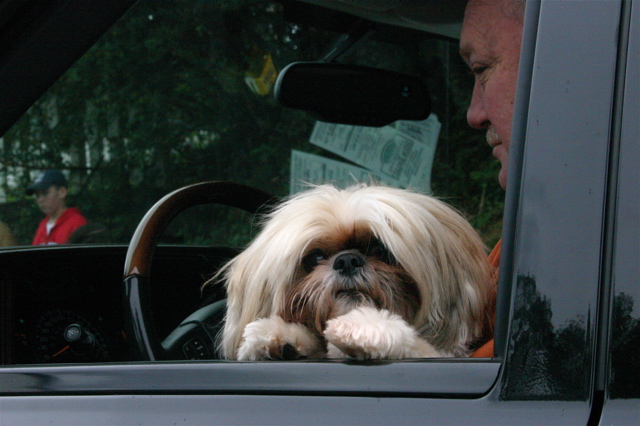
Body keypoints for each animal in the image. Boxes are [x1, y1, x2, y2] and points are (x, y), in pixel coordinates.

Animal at [212, 183, 492, 360]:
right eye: (315, 258)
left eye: (379, 249)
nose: (346, 260)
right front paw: (280, 337)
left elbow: (414, 342)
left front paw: (364, 326)